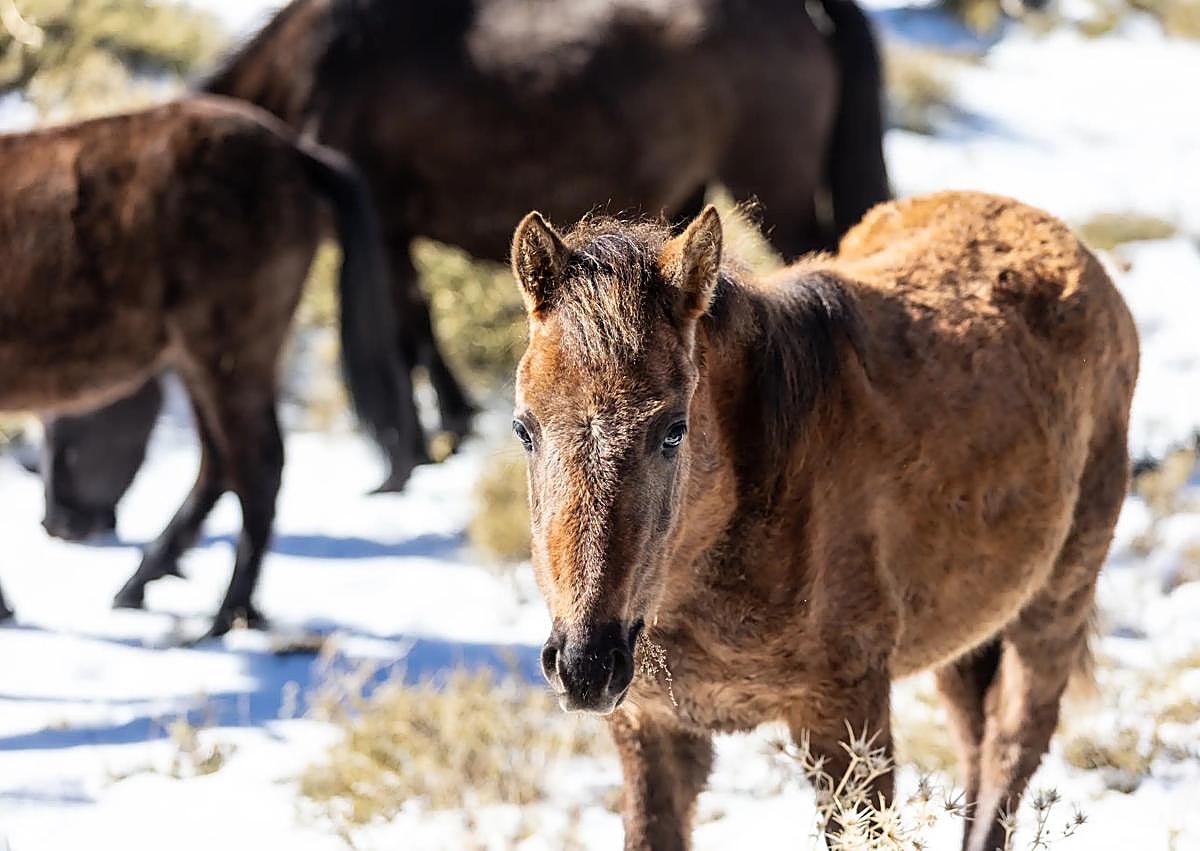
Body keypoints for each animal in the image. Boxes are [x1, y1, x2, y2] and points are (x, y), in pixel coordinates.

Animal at [0, 95, 420, 636]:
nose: (60, 524)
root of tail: (296, 154)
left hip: (223, 355)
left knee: (256, 465)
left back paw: (225, 615)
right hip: (200, 361)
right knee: (221, 465)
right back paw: (141, 588)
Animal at [35, 0, 890, 538]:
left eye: (75, 409)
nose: (60, 520)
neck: (316, 69)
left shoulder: (383, 225)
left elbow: (402, 332)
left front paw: (406, 450)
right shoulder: (397, 231)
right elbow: (416, 328)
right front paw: (447, 424)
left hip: (774, 186)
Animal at [509, 191, 1138, 851]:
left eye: (673, 430)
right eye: (524, 428)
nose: (585, 665)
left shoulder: (845, 717)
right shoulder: (651, 726)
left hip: (1055, 604)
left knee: (1009, 756)